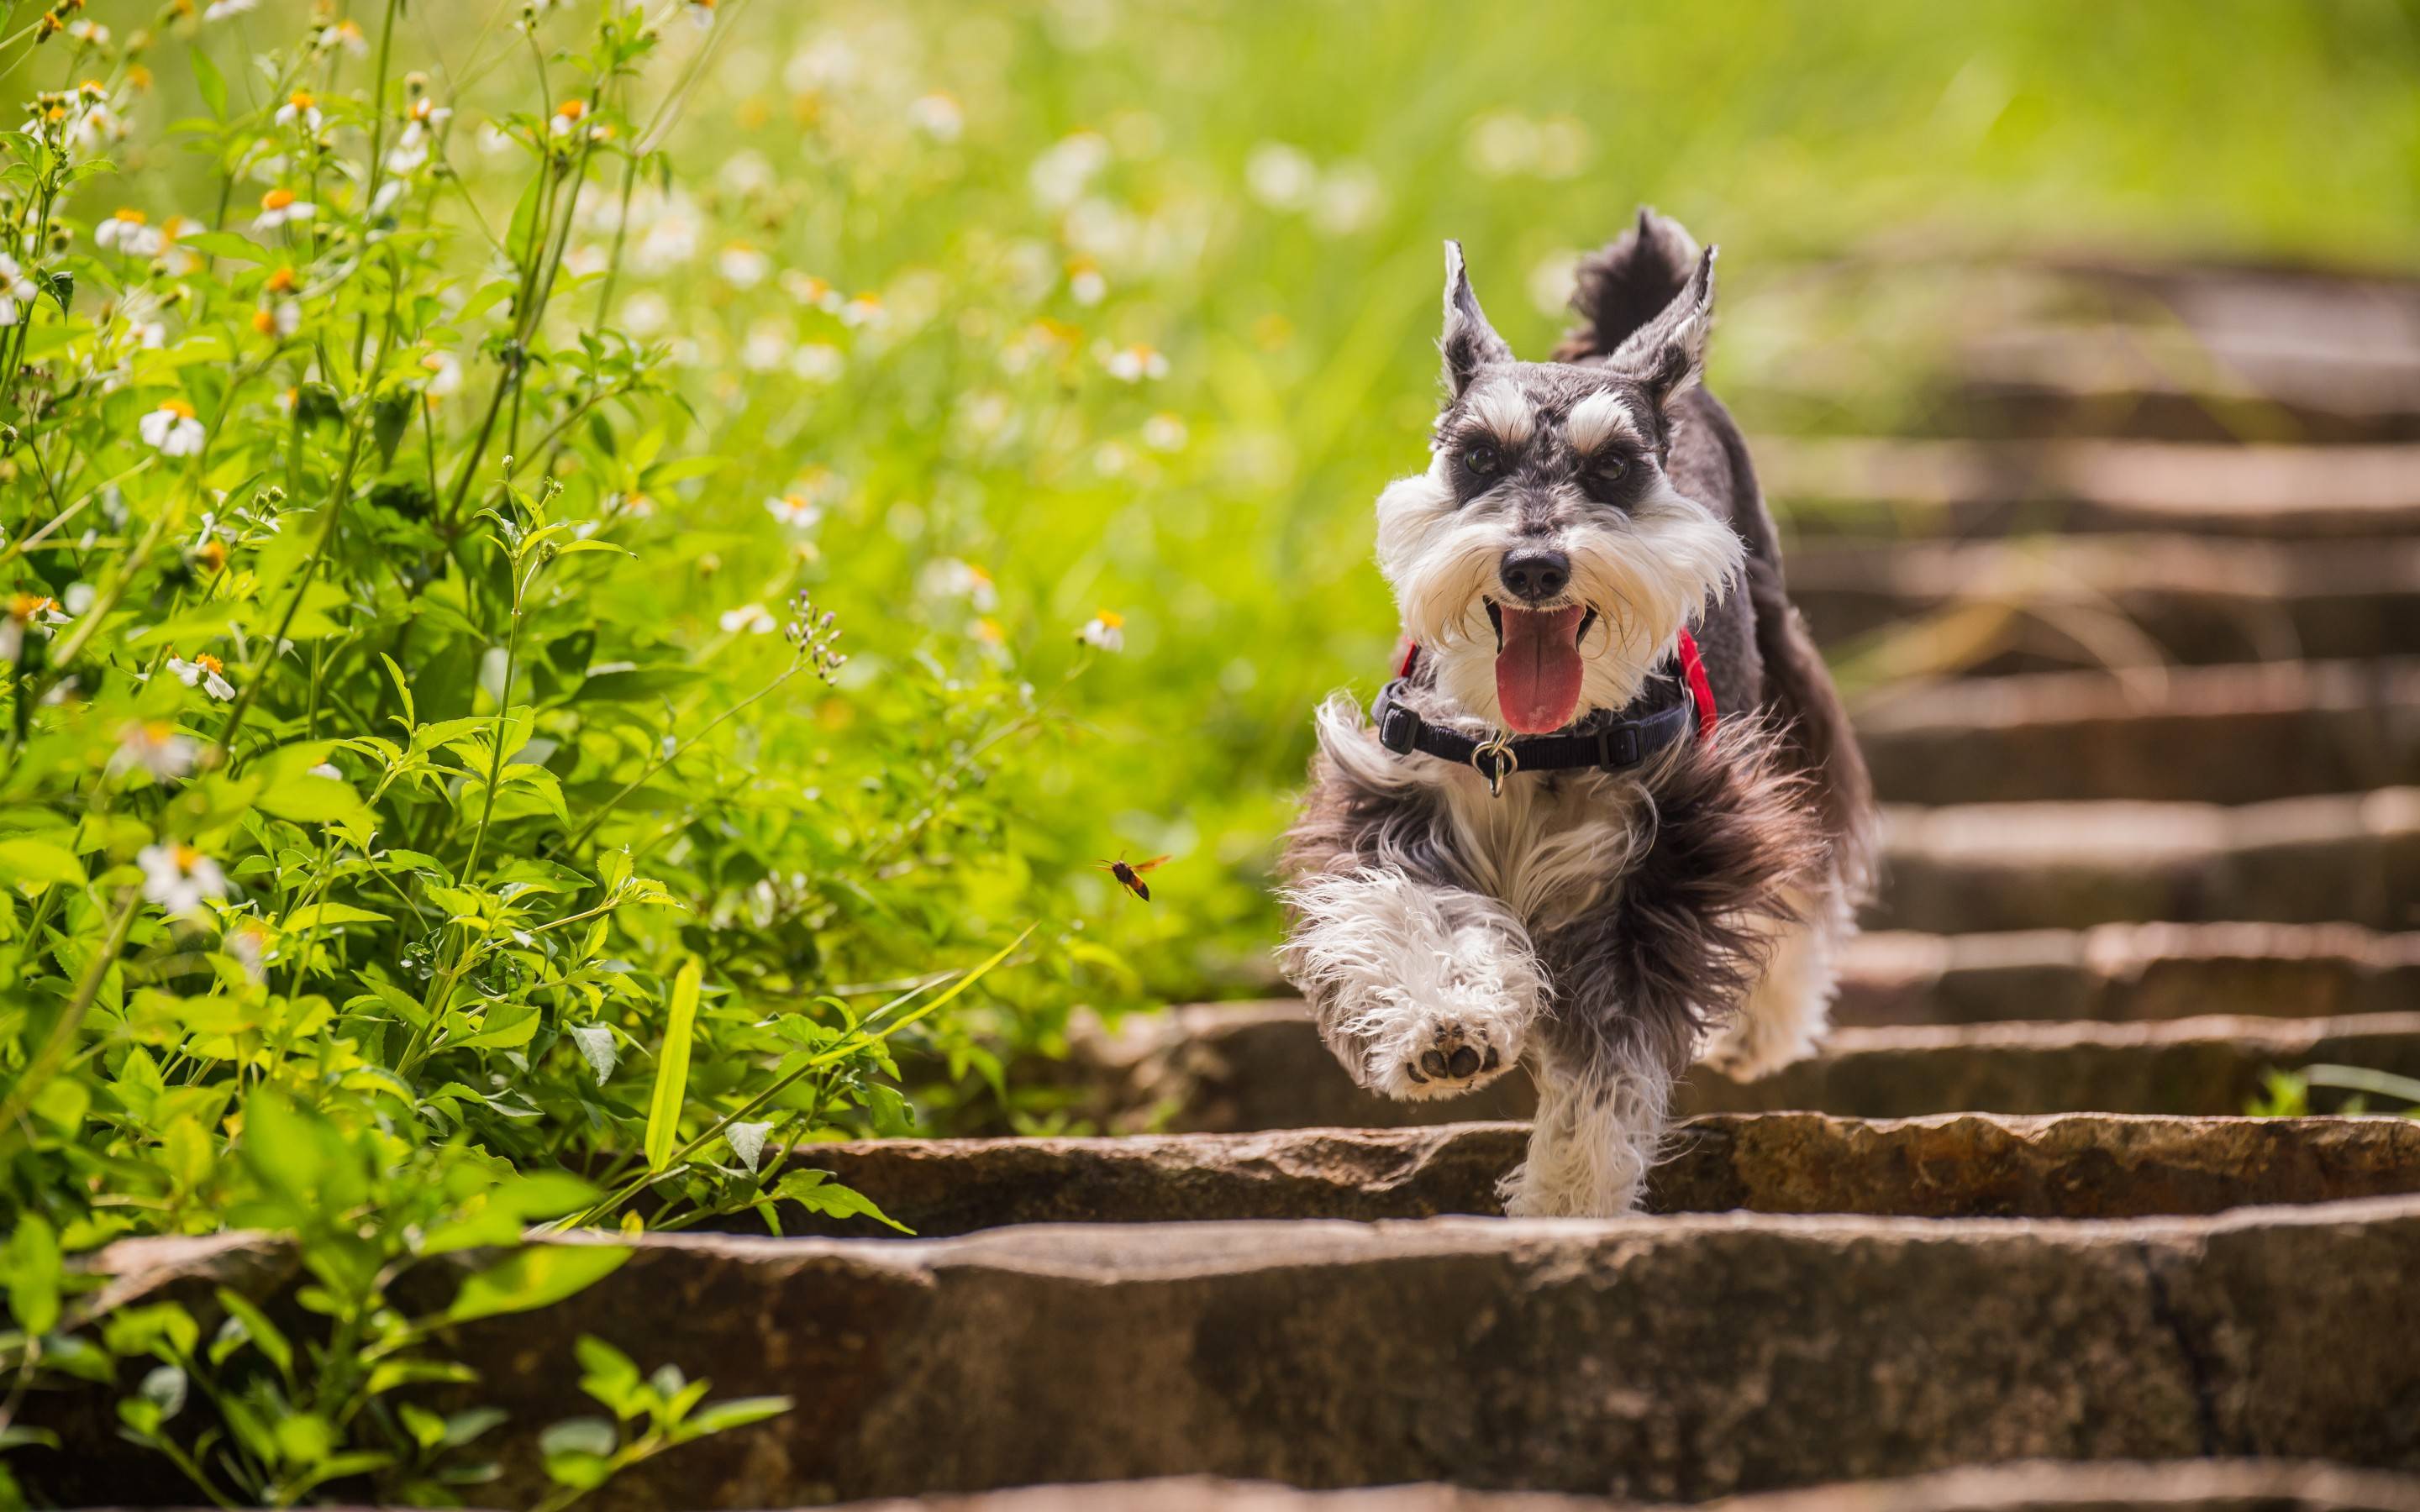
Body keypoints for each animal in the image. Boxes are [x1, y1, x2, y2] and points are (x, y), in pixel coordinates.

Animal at [1277, 209, 1877, 1214]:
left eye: (1616, 468)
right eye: (1477, 455)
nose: (1534, 566)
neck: (1530, 744)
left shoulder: (1664, 864)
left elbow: (1608, 1060)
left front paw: (1569, 1199)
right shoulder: (1390, 804)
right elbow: (1418, 914)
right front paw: (1446, 1024)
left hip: (1786, 692)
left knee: (1809, 865)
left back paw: (1767, 1025)